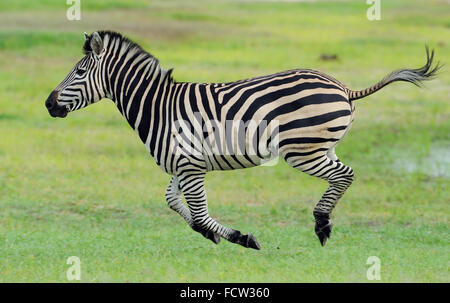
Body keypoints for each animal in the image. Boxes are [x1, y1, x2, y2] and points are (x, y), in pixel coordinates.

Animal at [44, 30, 440, 249]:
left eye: (80, 72)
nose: (48, 104)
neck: (158, 107)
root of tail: (342, 86)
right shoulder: (182, 164)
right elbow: (175, 203)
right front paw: (213, 235)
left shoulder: (190, 166)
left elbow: (199, 214)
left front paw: (241, 239)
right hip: (316, 148)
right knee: (345, 175)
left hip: (303, 151)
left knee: (345, 175)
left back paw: (322, 224)